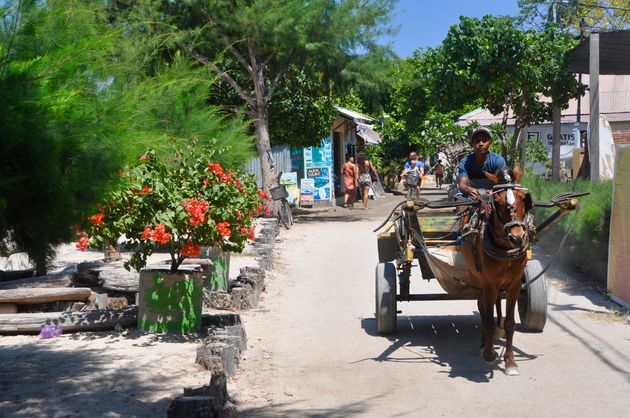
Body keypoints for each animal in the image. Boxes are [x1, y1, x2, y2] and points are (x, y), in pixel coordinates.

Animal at [460, 166, 532, 376]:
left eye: (523, 198)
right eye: (497, 202)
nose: (517, 237)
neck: (506, 248)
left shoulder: (515, 283)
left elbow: (509, 323)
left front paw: (510, 362)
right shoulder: (490, 282)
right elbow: (489, 320)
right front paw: (490, 355)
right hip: (477, 277)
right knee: (482, 306)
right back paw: (484, 344)